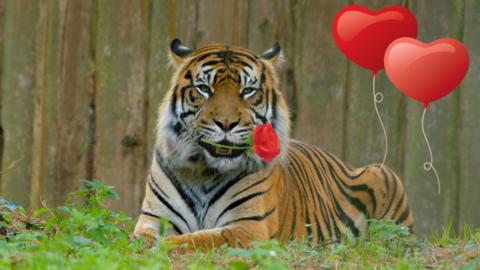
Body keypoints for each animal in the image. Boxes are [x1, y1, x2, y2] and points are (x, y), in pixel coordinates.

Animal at [132, 38, 412, 249]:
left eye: (247, 91)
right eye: (203, 89)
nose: (226, 123)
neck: (206, 171)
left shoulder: (248, 227)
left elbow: (197, 239)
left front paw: (164, 247)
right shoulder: (153, 219)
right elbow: (140, 239)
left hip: (384, 174)